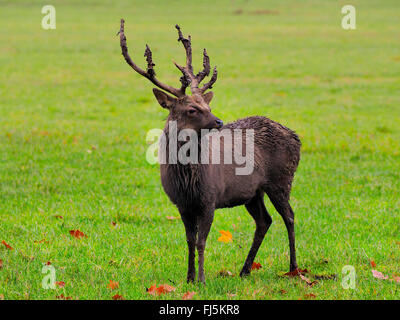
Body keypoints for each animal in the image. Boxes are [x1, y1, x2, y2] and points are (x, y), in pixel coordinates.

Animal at [118, 18, 300, 284]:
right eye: (192, 109)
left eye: (208, 105)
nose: (219, 121)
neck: (187, 179)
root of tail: (296, 137)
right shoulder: (182, 203)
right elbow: (189, 241)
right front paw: (189, 277)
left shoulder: (209, 198)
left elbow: (202, 241)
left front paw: (202, 280)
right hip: (252, 192)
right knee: (264, 221)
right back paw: (245, 270)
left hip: (281, 180)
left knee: (289, 216)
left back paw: (293, 267)